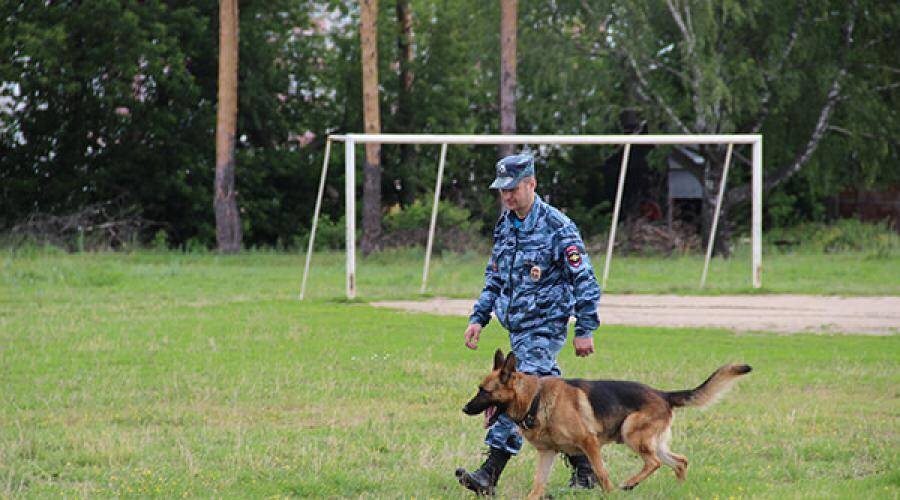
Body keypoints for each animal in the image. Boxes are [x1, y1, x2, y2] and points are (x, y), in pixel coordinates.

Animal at [460, 350, 748, 498]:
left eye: (484, 391)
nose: (464, 408)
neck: (535, 398)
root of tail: (663, 394)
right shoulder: (548, 453)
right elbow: (538, 485)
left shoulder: (589, 443)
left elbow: (601, 473)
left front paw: (609, 493)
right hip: (654, 442)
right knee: (680, 461)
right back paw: (679, 490)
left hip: (631, 433)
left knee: (653, 462)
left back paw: (630, 484)